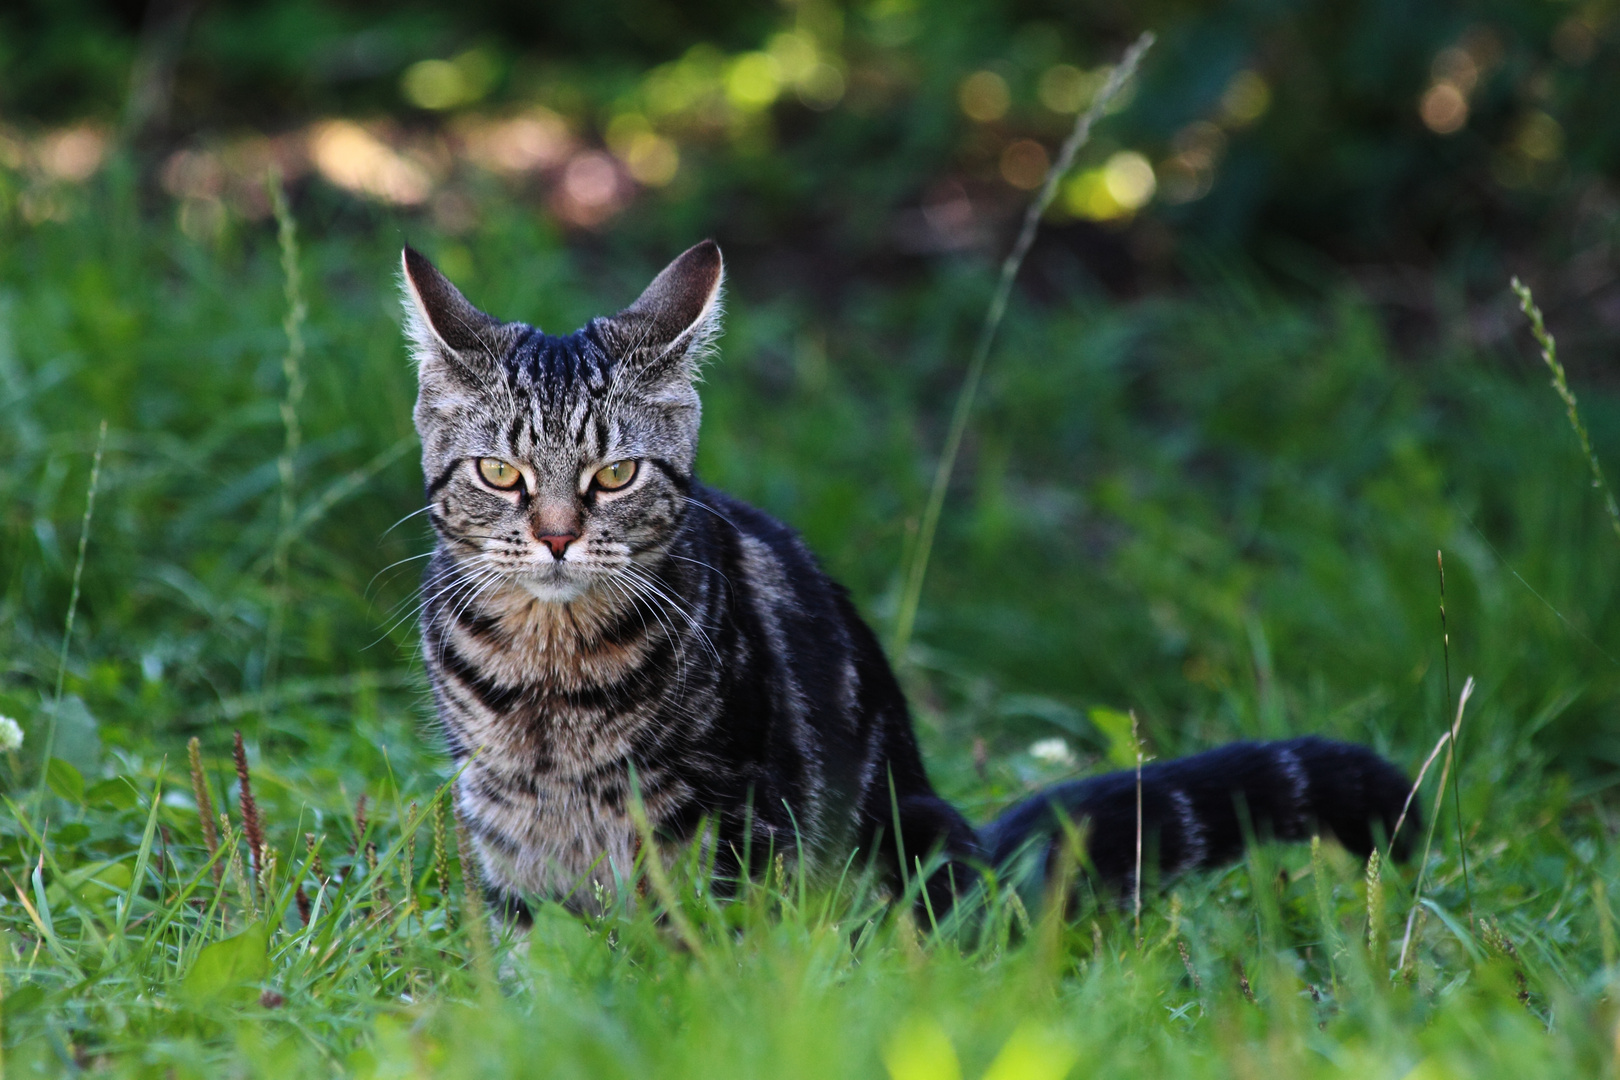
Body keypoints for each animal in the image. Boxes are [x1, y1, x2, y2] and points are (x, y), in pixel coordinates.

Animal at [398, 241, 1412, 919]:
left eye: (614, 475)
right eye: (500, 473)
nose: (558, 538)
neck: (551, 679)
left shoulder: (732, 819)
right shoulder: (507, 827)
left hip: (911, 834)